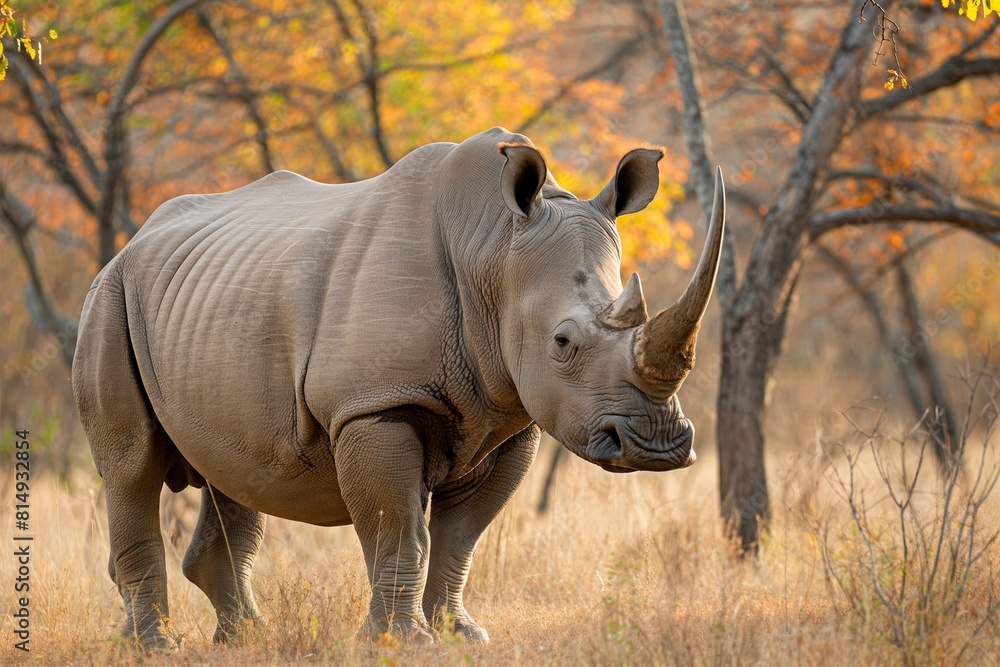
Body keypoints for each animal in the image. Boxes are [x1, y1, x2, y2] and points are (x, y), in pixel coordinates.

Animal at [73, 127, 725, 647]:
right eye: (563, 342)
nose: (658, 446)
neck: (493, 251)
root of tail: (131, 243)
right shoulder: (375, 404)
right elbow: (400, 529)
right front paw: (400, 641)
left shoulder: (511, 416)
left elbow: (460, 538)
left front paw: (461, 635)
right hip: (107, 299)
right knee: (132, 468)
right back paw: (156, 647)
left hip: (205, 301)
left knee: (235, 474)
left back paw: (242, 640)